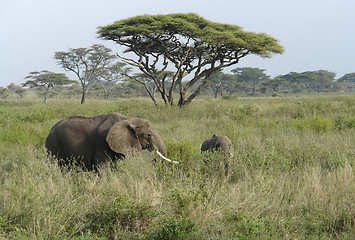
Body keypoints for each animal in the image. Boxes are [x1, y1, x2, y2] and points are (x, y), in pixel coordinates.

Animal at [46, 111, 177, 170]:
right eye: (149, 135)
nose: (153, 160)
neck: (129, 119)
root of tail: (51, 129)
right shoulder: (102, 142)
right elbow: (102, 167)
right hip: (53, 145)